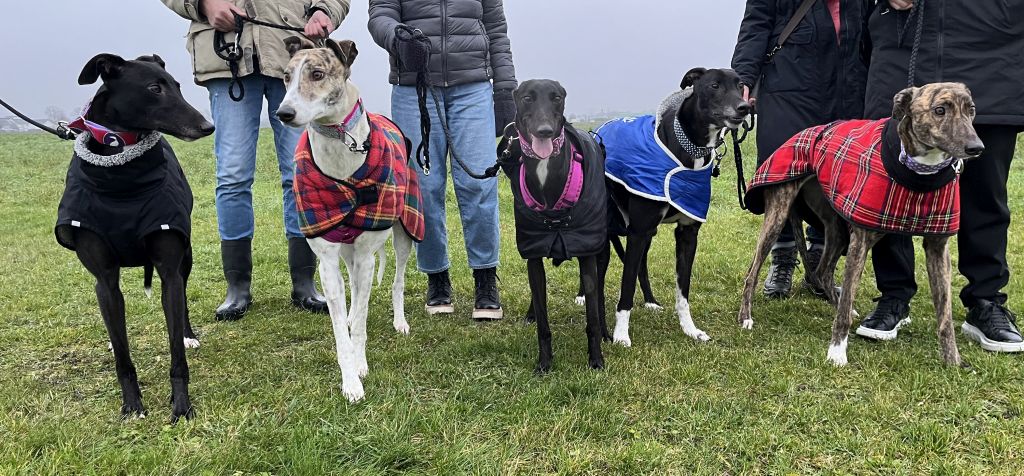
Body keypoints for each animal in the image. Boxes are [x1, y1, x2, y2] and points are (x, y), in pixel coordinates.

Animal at [54, 53, 214, 421]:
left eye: (178, 85)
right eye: (154, 88)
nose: (207, 126)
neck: (120, 178)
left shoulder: (169, 269)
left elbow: (175, 350)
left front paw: (181, 405)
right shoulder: (104, 279)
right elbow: (122, 353)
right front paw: (132, 405)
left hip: (185, 259)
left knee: (183, 298)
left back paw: (188, 335)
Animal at [276, 37, 423, 402]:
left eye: (317, 73)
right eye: (285, 76)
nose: (284, 113)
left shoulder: (367, 254)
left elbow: (360, 321)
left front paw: (360, 364)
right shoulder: (328, 258)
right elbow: (342, 322)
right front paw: (350, 381)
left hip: (404, 231)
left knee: (395, 281)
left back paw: (399, 321)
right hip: (346, 251)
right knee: (352, 294)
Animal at [496, 79, 609, 372]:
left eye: (556, 97)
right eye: (527, 98)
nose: (544, 130)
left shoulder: (588, 254)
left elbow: (592, 315)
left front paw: (596, 359)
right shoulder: (533, 254)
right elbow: (542, 317)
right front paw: (544, 362)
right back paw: (530, 315)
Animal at [598, 68, 751, 347]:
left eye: (740, 85)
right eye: (714, 85)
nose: (744, 107)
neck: (689, 147)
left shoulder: (686, 233)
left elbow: (683, 290)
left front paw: (690, 329)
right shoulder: (638, 231)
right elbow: (626, 286)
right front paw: (621, 334)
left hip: (647, 234)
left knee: (641, 265)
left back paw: (650, 301)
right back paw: (584, 297)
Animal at [739, 82, 984, 366]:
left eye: (971, 109)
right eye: (940, 110)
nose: (976, 148)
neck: (918, 175)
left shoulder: (938, 246)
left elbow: (945, 315)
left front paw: (953, 360)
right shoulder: (861, 240)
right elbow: (846, 304)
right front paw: (836, 352)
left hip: (836, 228)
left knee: (823, 271)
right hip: (778, 214)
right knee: (753, 271)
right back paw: (745, 316)